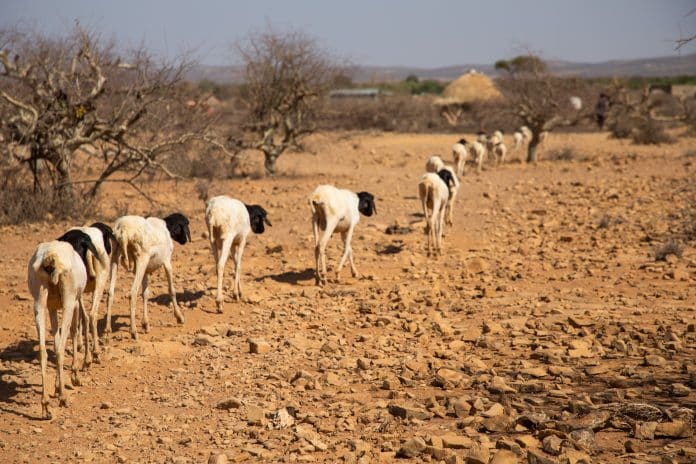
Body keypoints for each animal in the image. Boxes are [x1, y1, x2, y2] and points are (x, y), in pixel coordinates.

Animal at [27, 237, 92, 418]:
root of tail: (51, 256)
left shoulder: (52, 308)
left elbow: (55, 341)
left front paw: (56, 387)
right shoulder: (74, 304)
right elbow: (74, 332)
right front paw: (74, 377)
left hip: (39, 302)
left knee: (43, 350)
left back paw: (46, 406)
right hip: (69, 301)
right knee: (61, 348)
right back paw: (63, 397)